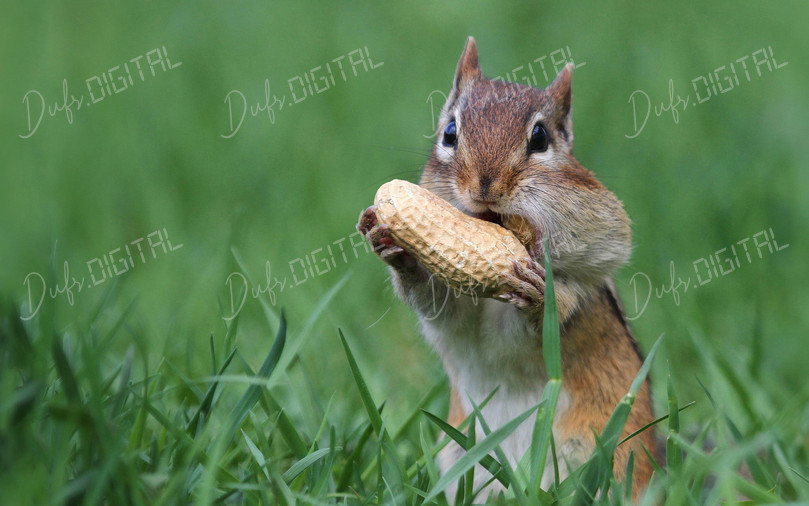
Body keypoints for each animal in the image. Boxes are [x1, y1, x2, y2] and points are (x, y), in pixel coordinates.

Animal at [357, 37, 657, 501]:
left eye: (540, 138)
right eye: (449, 132)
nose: (486, 185)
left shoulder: (595, 249)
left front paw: (538, 288)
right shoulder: (457, 314)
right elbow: (440, 307)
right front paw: (394, 249)